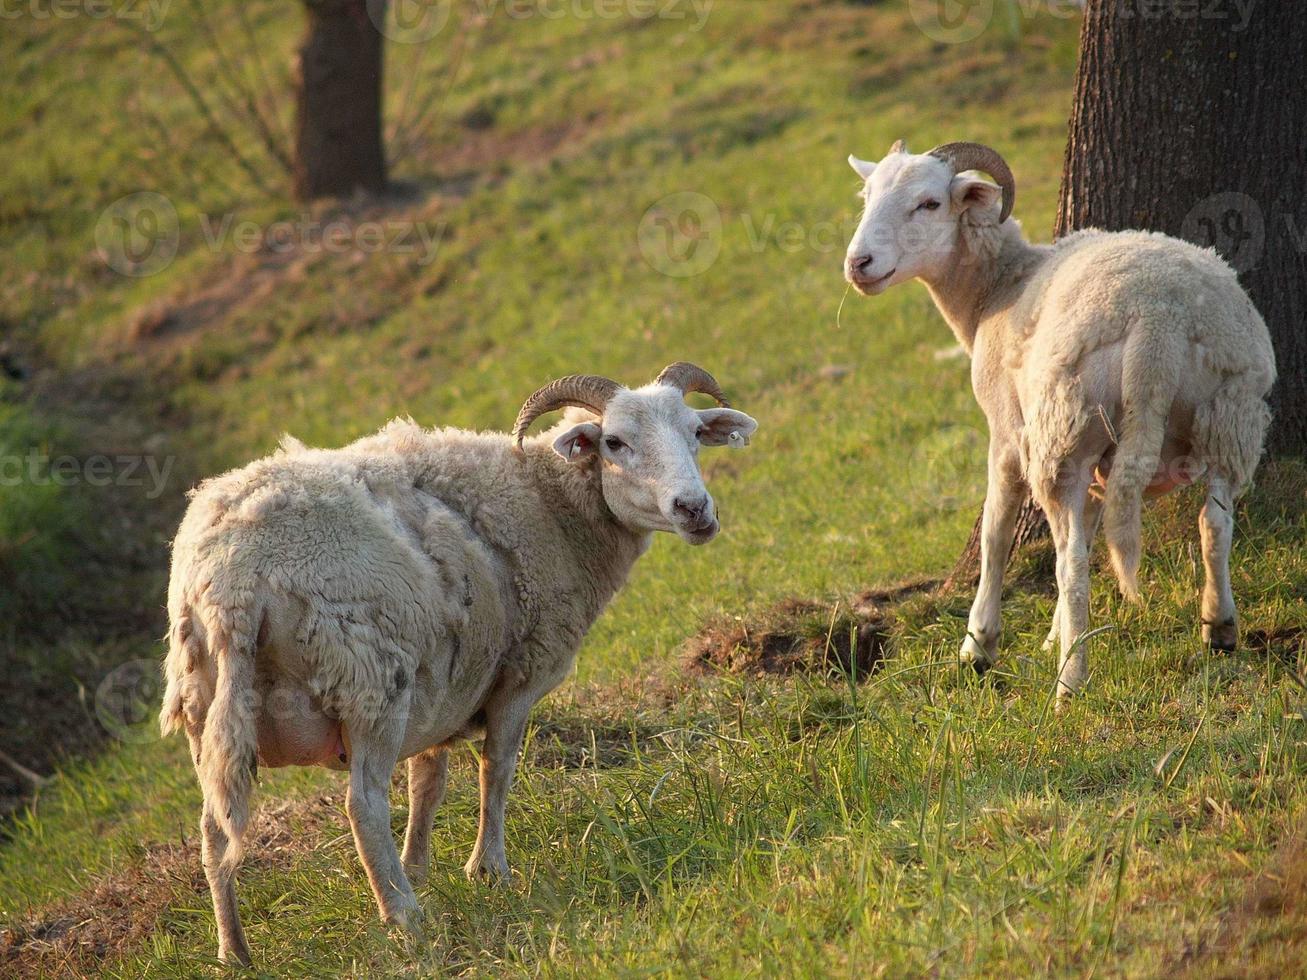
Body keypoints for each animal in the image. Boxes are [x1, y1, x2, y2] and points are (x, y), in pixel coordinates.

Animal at [159, 365, 763, 972]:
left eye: (694, 432)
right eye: (614, 443)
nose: (694, 510)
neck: (554, 507)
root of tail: (232, 584)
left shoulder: (444, 687)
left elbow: (428, 782)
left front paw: (421, 866)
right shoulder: (519, 674)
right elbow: (496, 769)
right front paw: (488, 870)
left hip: (206, 706)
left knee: (214, 830)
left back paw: (233, 951)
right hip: (371, 685)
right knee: (363, 806)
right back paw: (404, 918)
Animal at [841, 138, 1270, 705]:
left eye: (929, 203)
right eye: (866, 196)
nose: (858, 263)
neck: (996, 288)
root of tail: (1159, 321)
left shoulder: (1006, 432)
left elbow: (997, 534)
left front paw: (978, 646)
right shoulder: (1095, 463)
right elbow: (1084, 531)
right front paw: (1054, 635)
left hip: (1063, 432)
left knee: (1071, 566)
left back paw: (1069, 684)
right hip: (1228, 418)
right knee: (1214, 524)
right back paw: (1218, 628)